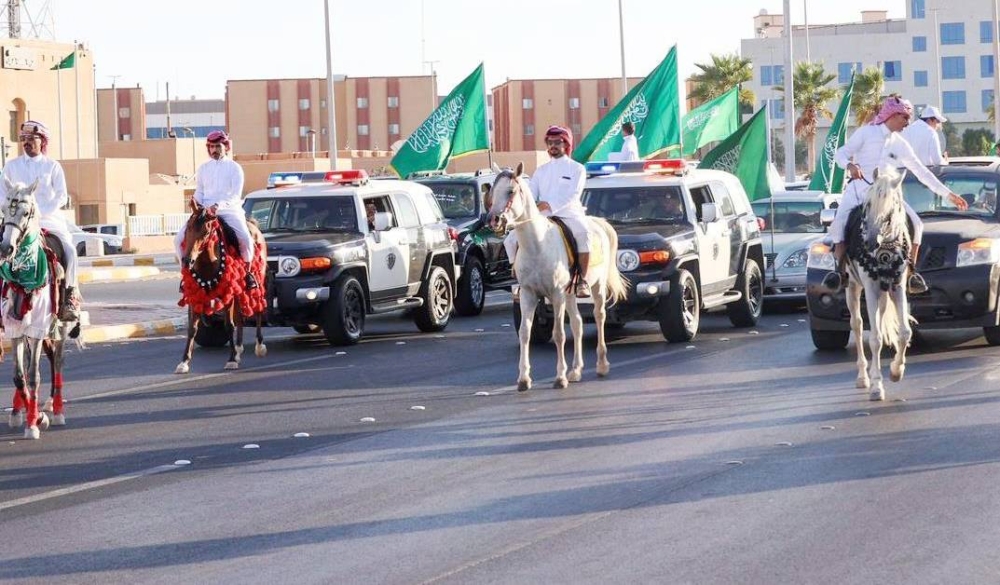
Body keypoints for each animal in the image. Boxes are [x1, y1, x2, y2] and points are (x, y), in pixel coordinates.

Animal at [176, 200, 268, 374]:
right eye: (188, 228)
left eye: (206, 232)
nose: (187, 261)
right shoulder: (195, 295)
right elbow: (192, 328)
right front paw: (184, 361)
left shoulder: (227, 293)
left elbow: (228, 325)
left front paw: (231, 360)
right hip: (239, 288)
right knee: (240, 316)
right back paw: (238, 349)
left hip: (257, 281)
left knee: (258, 309)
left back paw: (259, 346)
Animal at [488, 164, 628, 390]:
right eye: (492, 192)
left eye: (510, 191)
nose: (493, 220)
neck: (537, 245)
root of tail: (599, 223)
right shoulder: (528, 294)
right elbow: (525, 333)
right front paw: (524, 378)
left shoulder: (556, 294)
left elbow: (559, 334)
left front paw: (560, 377)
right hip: (570, 293)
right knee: (578, 323)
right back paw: (576, 370)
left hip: (596, 287)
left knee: (599, 316)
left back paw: (601, 364)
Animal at [844, 167, 916, 400]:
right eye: (867, 204)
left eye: (891, 210)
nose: (870, 242)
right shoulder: (870, 289)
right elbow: (874, 339)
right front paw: (877, 385)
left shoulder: (898, 287)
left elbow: (905, 332)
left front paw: (896, 371)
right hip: (852, 287)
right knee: (857, 324)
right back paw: (862, 377)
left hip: (884, 293)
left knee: (881, 317)